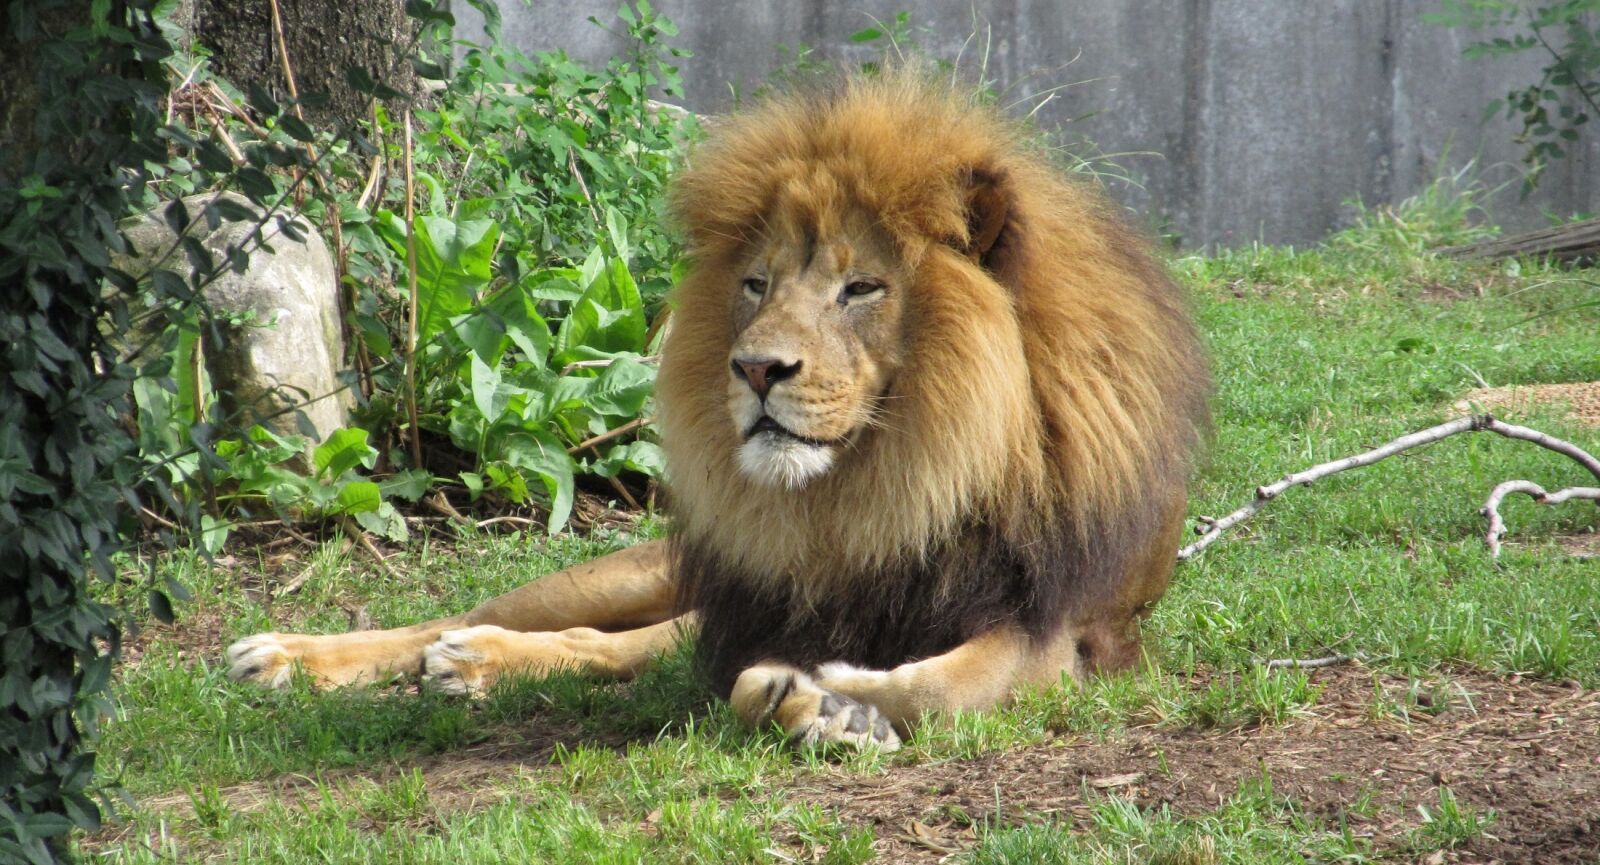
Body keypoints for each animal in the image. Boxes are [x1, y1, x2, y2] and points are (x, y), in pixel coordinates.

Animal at [226, 70, 1210, 750]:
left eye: (861, 287)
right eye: (756, 284)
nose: (756, 367)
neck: (896, 476)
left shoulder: (1061, 628)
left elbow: (929, 684)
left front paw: (838, 706)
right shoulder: (768, 608)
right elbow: (758, 671)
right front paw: (818, 699)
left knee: (613, 644)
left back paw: (473, 664)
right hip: (631, 571)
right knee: (493, 616)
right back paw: (305, 655)